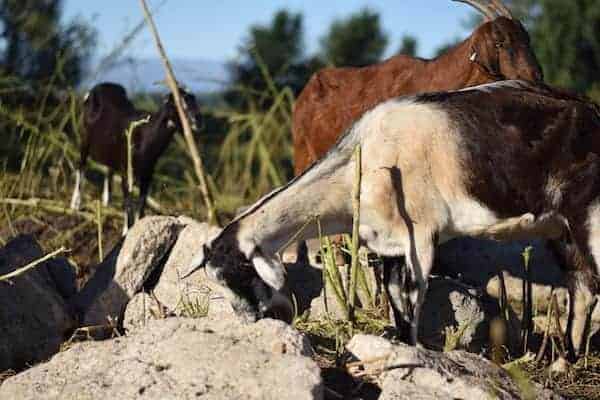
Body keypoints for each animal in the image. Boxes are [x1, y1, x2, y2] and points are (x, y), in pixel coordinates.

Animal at [185, 81, 600, 360]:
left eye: (241, 275)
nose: (249, 321)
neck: (361, 163)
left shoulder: (420, 238)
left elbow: (411, 301)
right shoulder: (389, 244)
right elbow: (395, 297)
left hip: (590, 216)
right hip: (560, 229)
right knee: (583, 287)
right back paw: (565, 362)